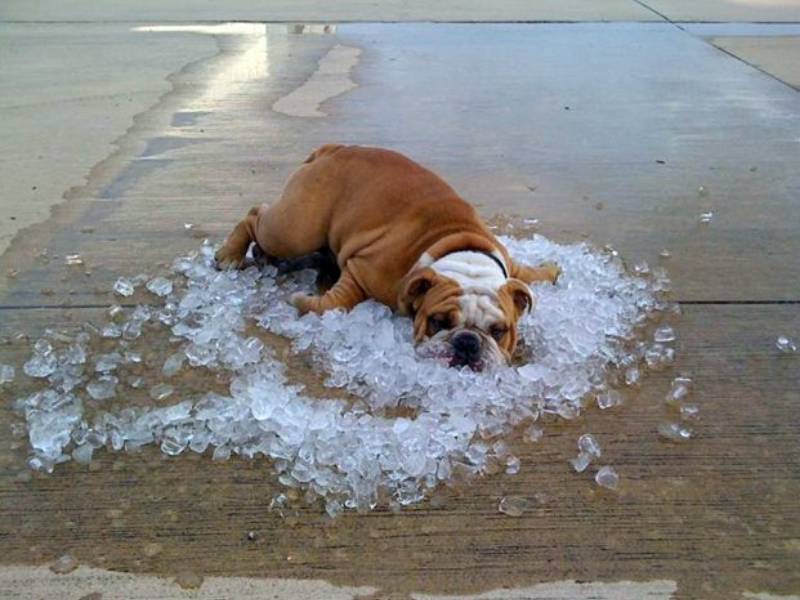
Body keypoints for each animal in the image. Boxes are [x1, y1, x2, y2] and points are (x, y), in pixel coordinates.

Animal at [216, 145, 560, 370]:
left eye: (498, 331)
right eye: (438, 322)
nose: (467, 342)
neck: (464, 256)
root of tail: (333, 149)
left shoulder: (507, 262)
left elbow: (524, 272)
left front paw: (550, 272)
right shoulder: (363, 270)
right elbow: (338, 301)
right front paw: (304, 302)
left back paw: (265, 257)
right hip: (297, 227)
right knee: (255, 215)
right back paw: (231, 255)